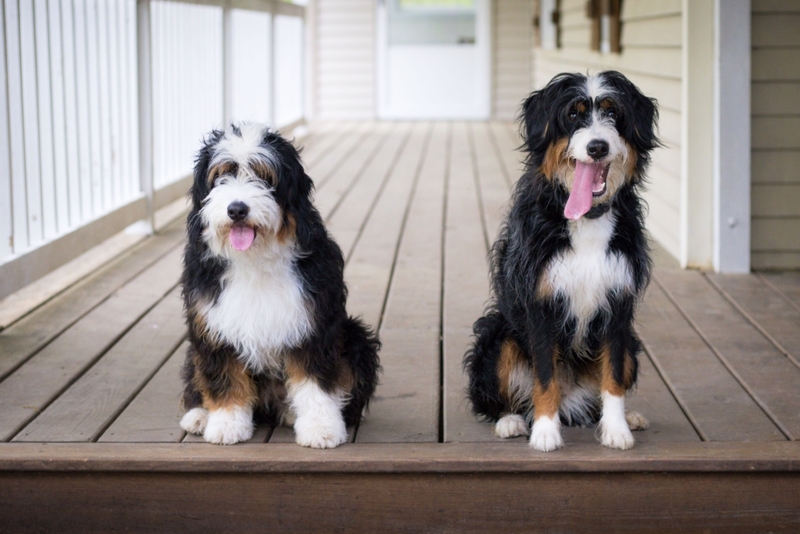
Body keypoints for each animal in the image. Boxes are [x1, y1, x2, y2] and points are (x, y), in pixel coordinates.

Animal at [181, 123, 382, 450]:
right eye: (221, 176)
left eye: (263, 177)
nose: (237, 209)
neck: (255, 259)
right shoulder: (214, 327)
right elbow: (224, 377)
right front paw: (226, 424)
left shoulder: (313, 324)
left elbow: (315, 381)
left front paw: (321, 427)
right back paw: (198, 415)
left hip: (355, 337)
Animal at [466, 71, 660, 452]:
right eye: (573, 115)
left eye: (613, 113)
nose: (597, 147)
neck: (586, 218)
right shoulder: (541, 304)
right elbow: (544, 375)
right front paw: (545, 433)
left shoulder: (618, 304)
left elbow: (613, 376)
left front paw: (617, 430)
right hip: (497, 335)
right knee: (502, 398)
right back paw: (510, 421)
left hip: (633, 346)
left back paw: (627, 416)